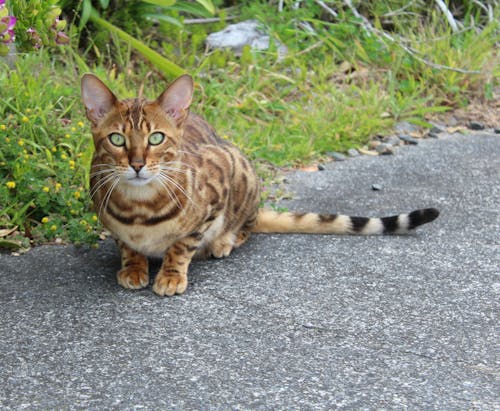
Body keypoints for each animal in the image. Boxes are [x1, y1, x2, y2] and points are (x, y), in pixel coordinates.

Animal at [80, 74, 440, 298]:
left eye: (156, 138)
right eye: (116, 139)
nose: (137, 164)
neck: (139, 208)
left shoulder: (218, 188)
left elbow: (182, 246)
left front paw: (171, 274)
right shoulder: (111, 221)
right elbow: (127, 246)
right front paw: (133, 267)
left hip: (243, 170)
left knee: (247, 225)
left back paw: (224, 242)